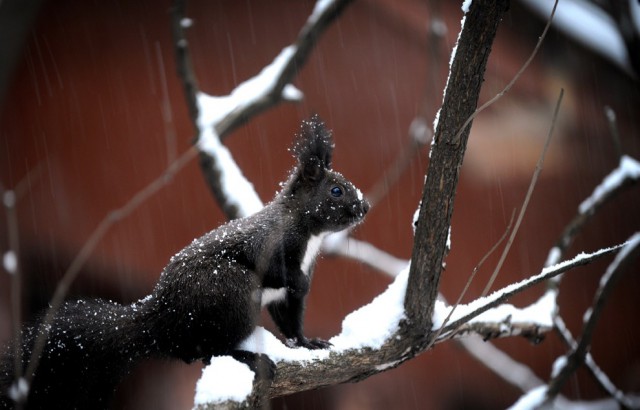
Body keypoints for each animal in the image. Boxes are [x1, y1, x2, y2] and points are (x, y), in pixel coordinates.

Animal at [0, 115, 370, 410]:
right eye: (336, 191)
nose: (364, 207)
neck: (310, 235)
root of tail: (161, 319)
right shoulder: (270, 246)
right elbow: (278, 273)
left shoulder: (288, 295)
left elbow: (292, 321)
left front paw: (307, 343)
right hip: (229, 292)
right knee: (210, 348)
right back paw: (248, 356)